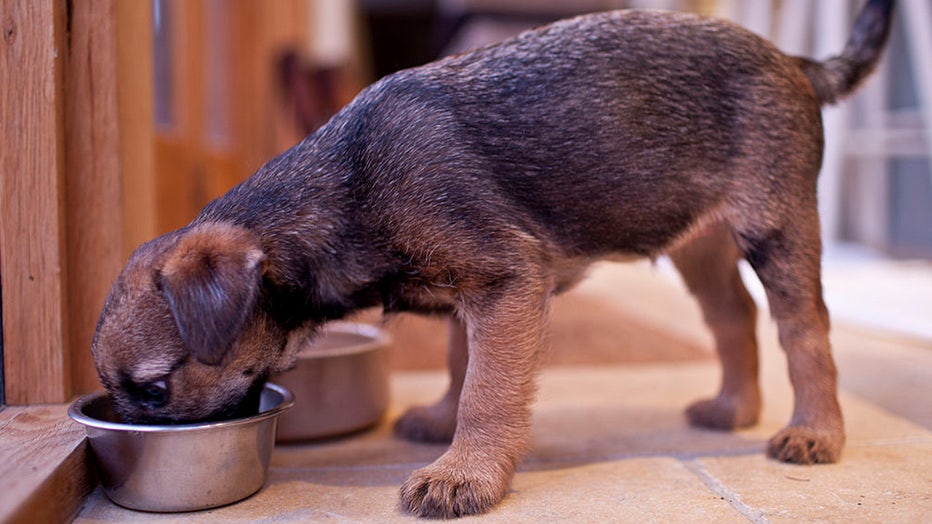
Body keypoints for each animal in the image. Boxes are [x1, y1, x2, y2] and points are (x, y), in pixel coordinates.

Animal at [93, 0, 896, 516]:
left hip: (776, 228)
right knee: (732, 316)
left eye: (155, 391)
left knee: (805, 331)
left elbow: (488, 390)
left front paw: (465, 474)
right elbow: (461, 364)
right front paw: (443, 420)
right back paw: (733, 408)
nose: (136, 437)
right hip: (696, 243)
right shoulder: (469, 292)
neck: (347, 187)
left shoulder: (505, 281)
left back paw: (815, 430)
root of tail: (797, 63)